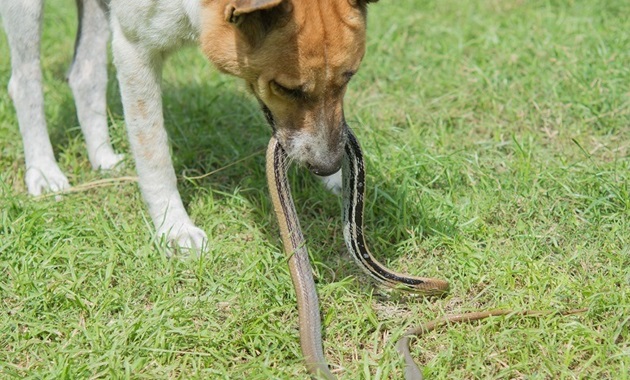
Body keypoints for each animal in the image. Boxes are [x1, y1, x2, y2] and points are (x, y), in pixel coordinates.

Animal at [1, 0, 376, 252]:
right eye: (286, 88)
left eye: (349, 77)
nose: (327, 165)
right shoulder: (133, 49)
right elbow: (153, 152)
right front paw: (174, 226)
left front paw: (336, 181)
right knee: (25, 81)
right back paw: (44, 170)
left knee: (85, 75)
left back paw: (103, 158)